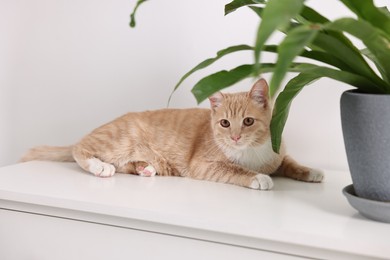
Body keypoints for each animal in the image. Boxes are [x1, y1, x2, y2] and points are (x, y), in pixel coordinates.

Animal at [22, 78, 324, 190]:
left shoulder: (278, 154)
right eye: (225, 123)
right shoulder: (204, 165)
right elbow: (236, 171)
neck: (251, 152)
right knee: (79, 149)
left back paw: (145, 168)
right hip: (118, 141)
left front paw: (310, 171)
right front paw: (258, 177)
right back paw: (100, 167)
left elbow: (291, 163)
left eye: (248, 121)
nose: (235, 137)